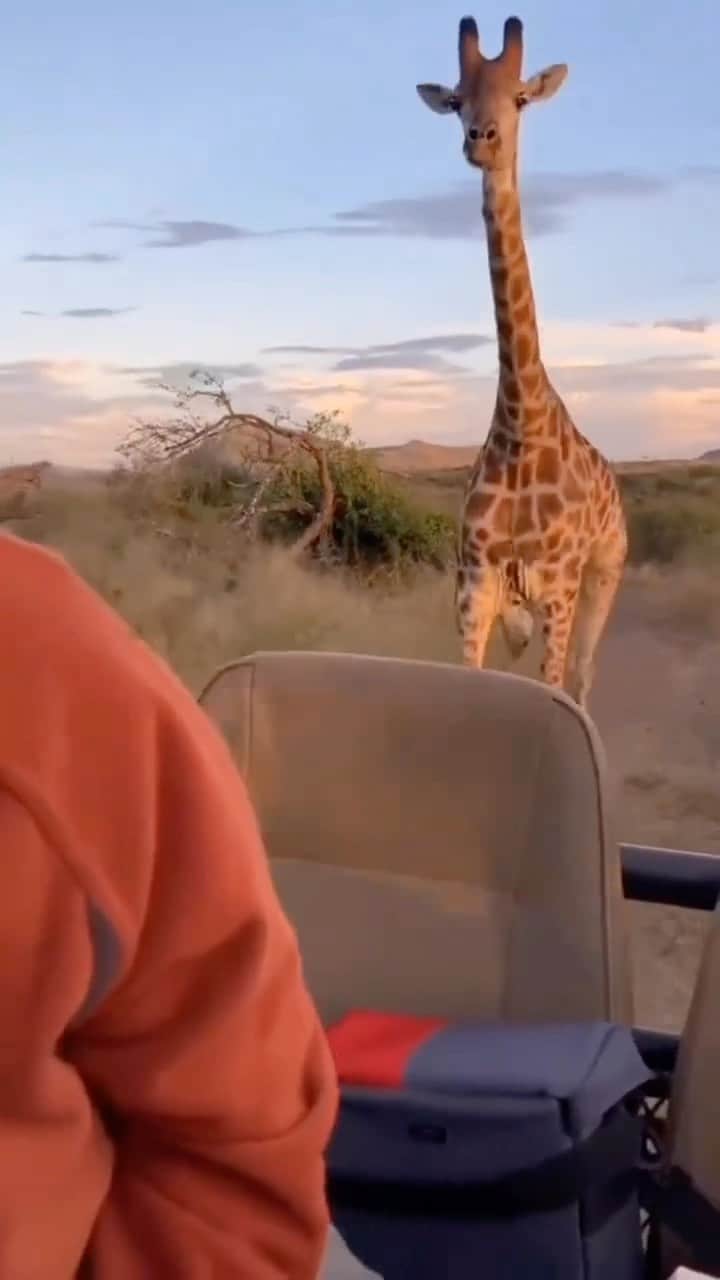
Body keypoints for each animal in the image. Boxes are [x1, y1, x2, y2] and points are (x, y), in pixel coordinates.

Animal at [416, 14, 627, 710]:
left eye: (520, 99)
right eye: (457, 100)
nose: (481, 142)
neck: (519, 423)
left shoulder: (557, 589)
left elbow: (555, 684)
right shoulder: (474, 588)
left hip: (603, 575)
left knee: (584, 675)